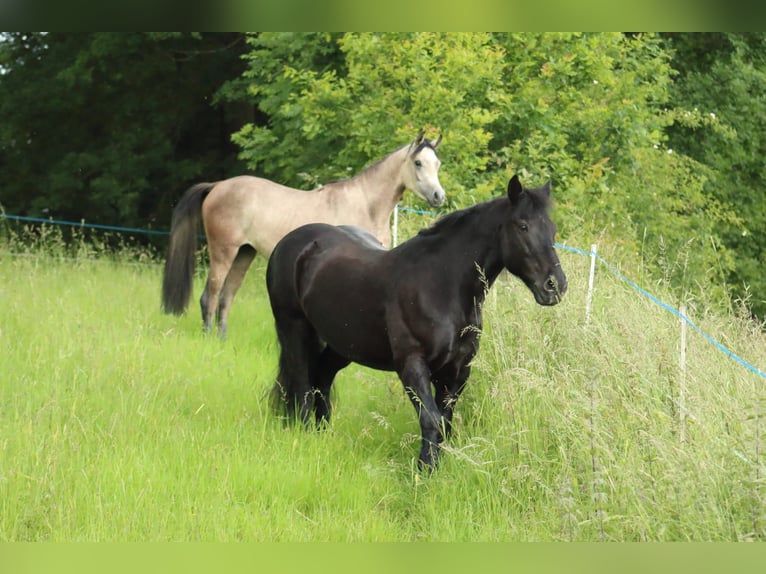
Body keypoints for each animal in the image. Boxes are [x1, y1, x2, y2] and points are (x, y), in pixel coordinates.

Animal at [165, 132, 448, 338]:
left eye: (437, 163)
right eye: (418, 163)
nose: (439, 197)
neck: (366, 205)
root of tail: (218, 186)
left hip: (244, 253)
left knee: (226, 297)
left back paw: (221, 340)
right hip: (224, 252)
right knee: (210, 296)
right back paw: (207, 338)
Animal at [268, 174, 568, 468]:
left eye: (552, 229)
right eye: (523, 226)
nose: (555, 286)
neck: (440, 286)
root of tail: (291, 243)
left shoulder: (458, 369)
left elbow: (445, 421)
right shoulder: (412, 364)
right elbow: (430, 418)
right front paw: (425, 469)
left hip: (343, 344)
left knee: (321, 378)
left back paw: (323, 434)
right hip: (293, 328)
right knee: (302, 384)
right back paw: (306, 434)